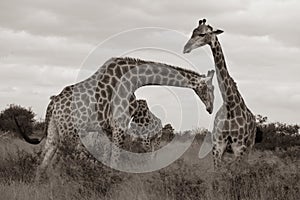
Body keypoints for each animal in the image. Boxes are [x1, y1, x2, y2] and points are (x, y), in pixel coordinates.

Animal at [15, 56, 214, 178]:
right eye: (209, 88)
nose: (211, 108)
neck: (134, 80)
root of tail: (54, 103)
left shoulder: (109, 128)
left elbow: (109, 158)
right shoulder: (120, 124)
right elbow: (116, 158)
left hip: (55, 130)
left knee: (43, 161)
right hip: (69, 132)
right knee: (59, 159)